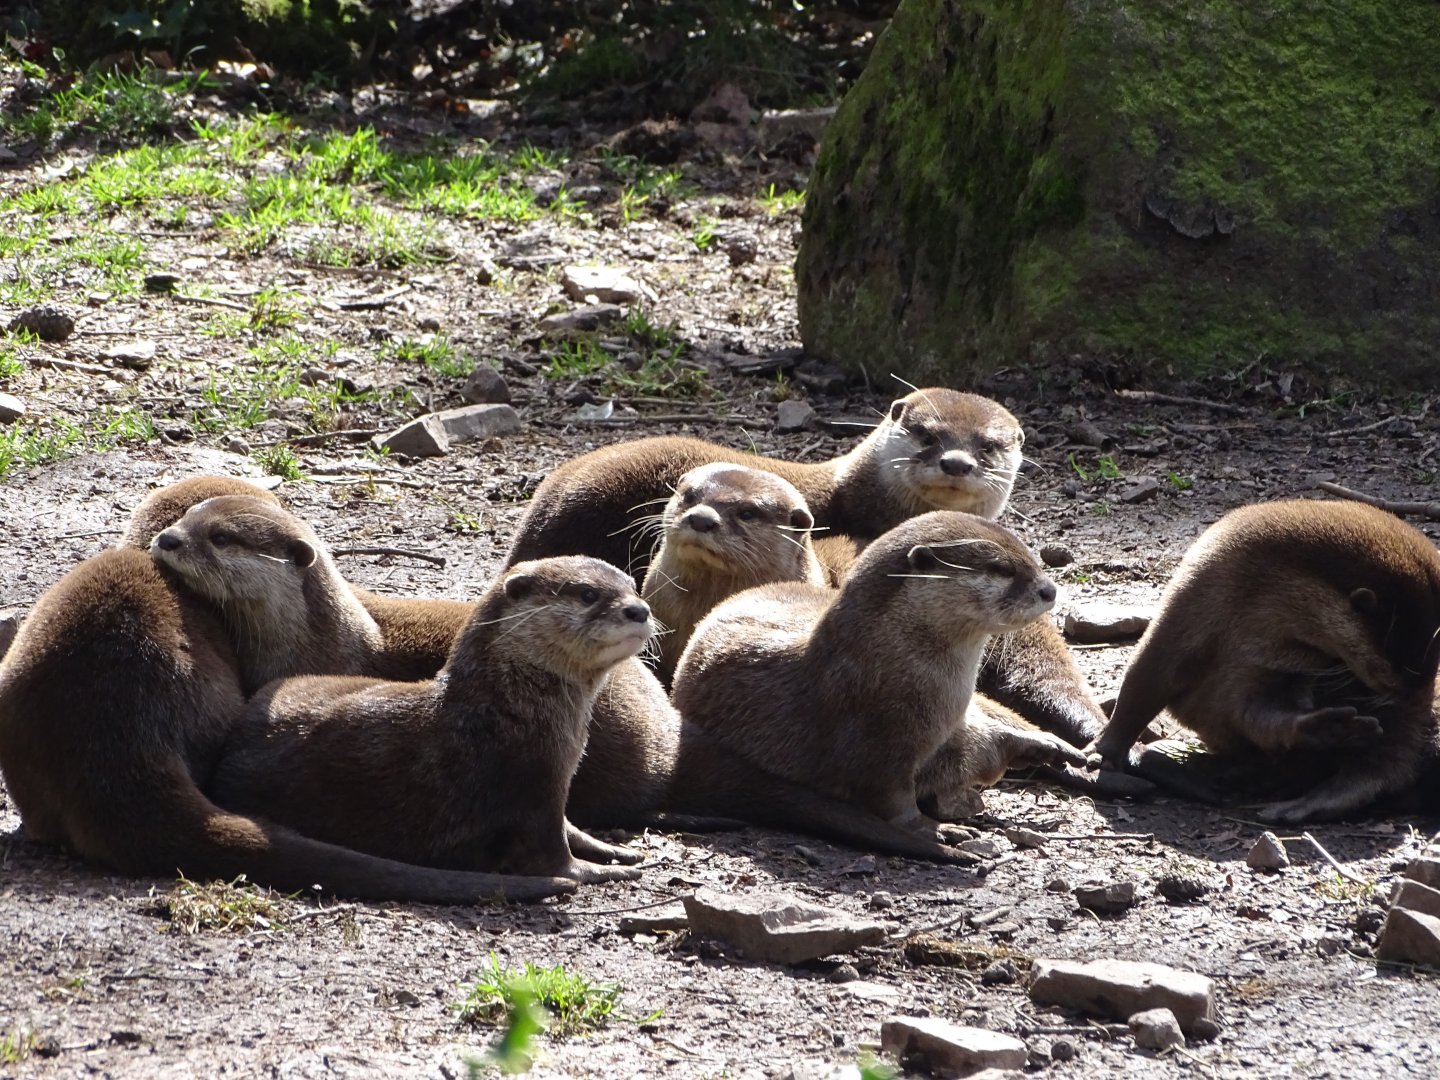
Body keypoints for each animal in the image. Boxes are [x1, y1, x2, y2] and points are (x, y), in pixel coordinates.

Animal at [209, 558, 657, 883]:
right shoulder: (531, 788)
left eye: (633, 587)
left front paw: (614, 850)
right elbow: (551, 856)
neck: (504, 715)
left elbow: (572, 826)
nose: (639, 610)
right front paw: (597, 871)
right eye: (587, 594)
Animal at [672, 512, 1069, 828]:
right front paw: (932, 830)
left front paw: (1035, 745)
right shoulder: (877, 746)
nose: (1049, 590)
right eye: (1001, 569)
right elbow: (890, 800)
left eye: (1031, 558)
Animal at [1089, 500, 1440, 823]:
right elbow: (1145, 680)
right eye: (1389, 671)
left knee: (1382, 768)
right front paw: (1107, 753)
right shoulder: (1192, 606)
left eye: (1433, 669)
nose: (1418, 697)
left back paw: (1296, 804)